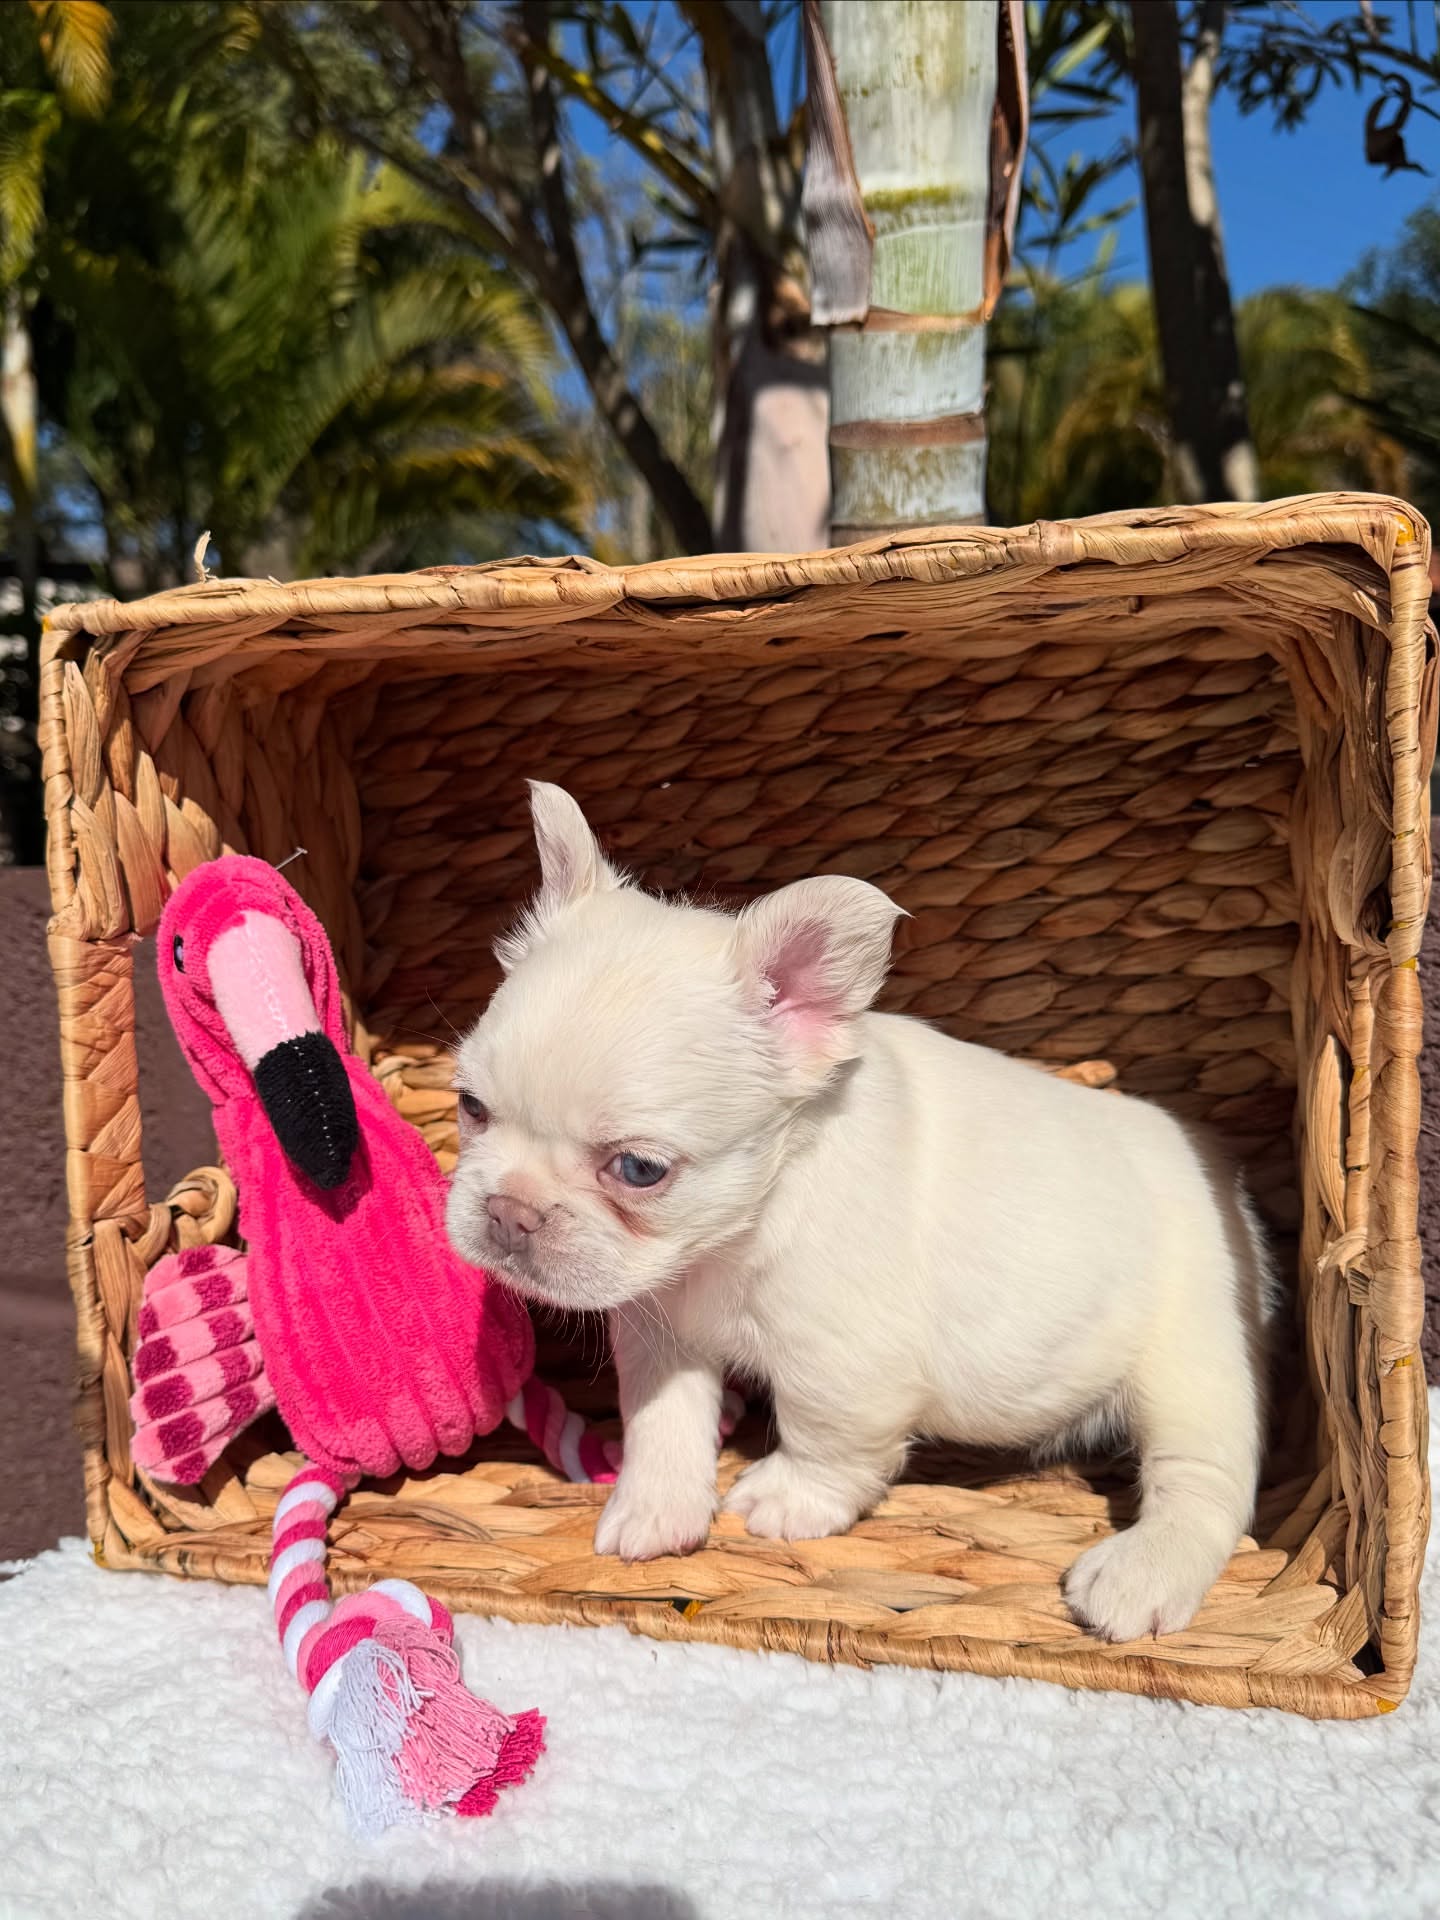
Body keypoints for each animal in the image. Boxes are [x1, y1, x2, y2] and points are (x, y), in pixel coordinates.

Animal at [447, 783, 1273, 1642]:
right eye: (470, 1106)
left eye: (639, 1169)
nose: (508, 1211)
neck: (732, 1238)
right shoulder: (661, 1328)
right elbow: (663, 1418)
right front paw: (655, 1509)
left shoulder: (841, 1364)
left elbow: (826, 1436)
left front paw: (787, 1499)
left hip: (1193, 1363)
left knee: (1208, 1482)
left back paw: (1141, 1573)